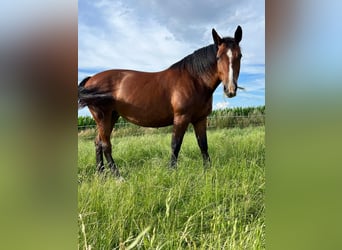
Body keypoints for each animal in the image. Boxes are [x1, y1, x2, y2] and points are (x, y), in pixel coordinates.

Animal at [77, 25, 243, 178]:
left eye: (240, 56)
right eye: (218, 57)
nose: (230, 89)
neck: (194, 80)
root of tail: (91, 79)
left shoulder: (200, 119)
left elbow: (203, 145)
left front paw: (208, 171)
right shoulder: (181, 118)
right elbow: (175, 145)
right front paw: (171, 172)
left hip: (111, 117)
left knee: (97, 143)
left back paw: (101, 174)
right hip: (103, 117)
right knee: (105, 145)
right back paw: (118, 177)